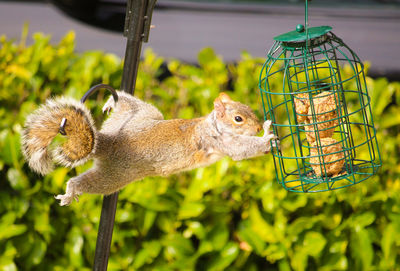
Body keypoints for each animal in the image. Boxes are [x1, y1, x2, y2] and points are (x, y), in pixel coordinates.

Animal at [21, 92, 278, 206]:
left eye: (248, 109)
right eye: (238, 119)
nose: (257, 126)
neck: (211, 124)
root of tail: (108, 140)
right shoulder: (218, 141)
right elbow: (240, 149)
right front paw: (267, 137)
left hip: (143, 115)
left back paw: (114, 100)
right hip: (114, 176)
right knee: (89, 183)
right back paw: (71, 191)